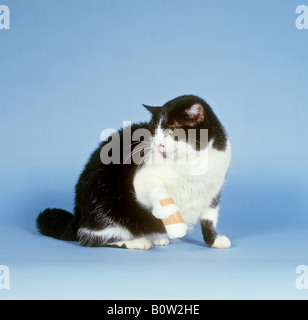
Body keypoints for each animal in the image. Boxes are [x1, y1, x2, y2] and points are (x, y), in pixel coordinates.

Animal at [36, 95, 231, 250]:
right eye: (154, 131)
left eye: (172, 129)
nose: (157, 144)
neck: (192, 163)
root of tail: (78, 215)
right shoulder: (143, 179)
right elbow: (162, 197)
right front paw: (177, 226)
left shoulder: (214, 190)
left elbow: (209, 219)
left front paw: (214, 240)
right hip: (105, 206)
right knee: (92, 238)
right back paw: (138, 241)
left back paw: (158, 237)